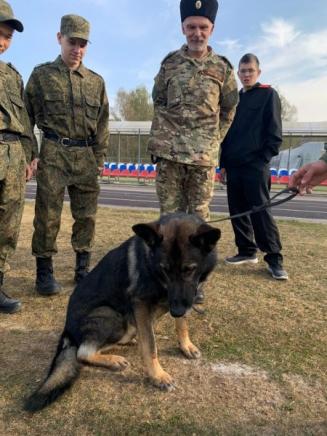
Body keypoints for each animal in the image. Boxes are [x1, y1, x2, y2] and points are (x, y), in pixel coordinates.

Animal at [25, 213, 220, 410]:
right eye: (164, 270)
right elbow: (150, 345)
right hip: (112, 315)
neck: (152, 266)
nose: (177, 311)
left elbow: (181, 325)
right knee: (83, 353)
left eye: (189, 269)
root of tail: (67, 331)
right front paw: (158, 376)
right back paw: (113, 360)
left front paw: (186, 345)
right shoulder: (141, 303)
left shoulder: (183, 298)